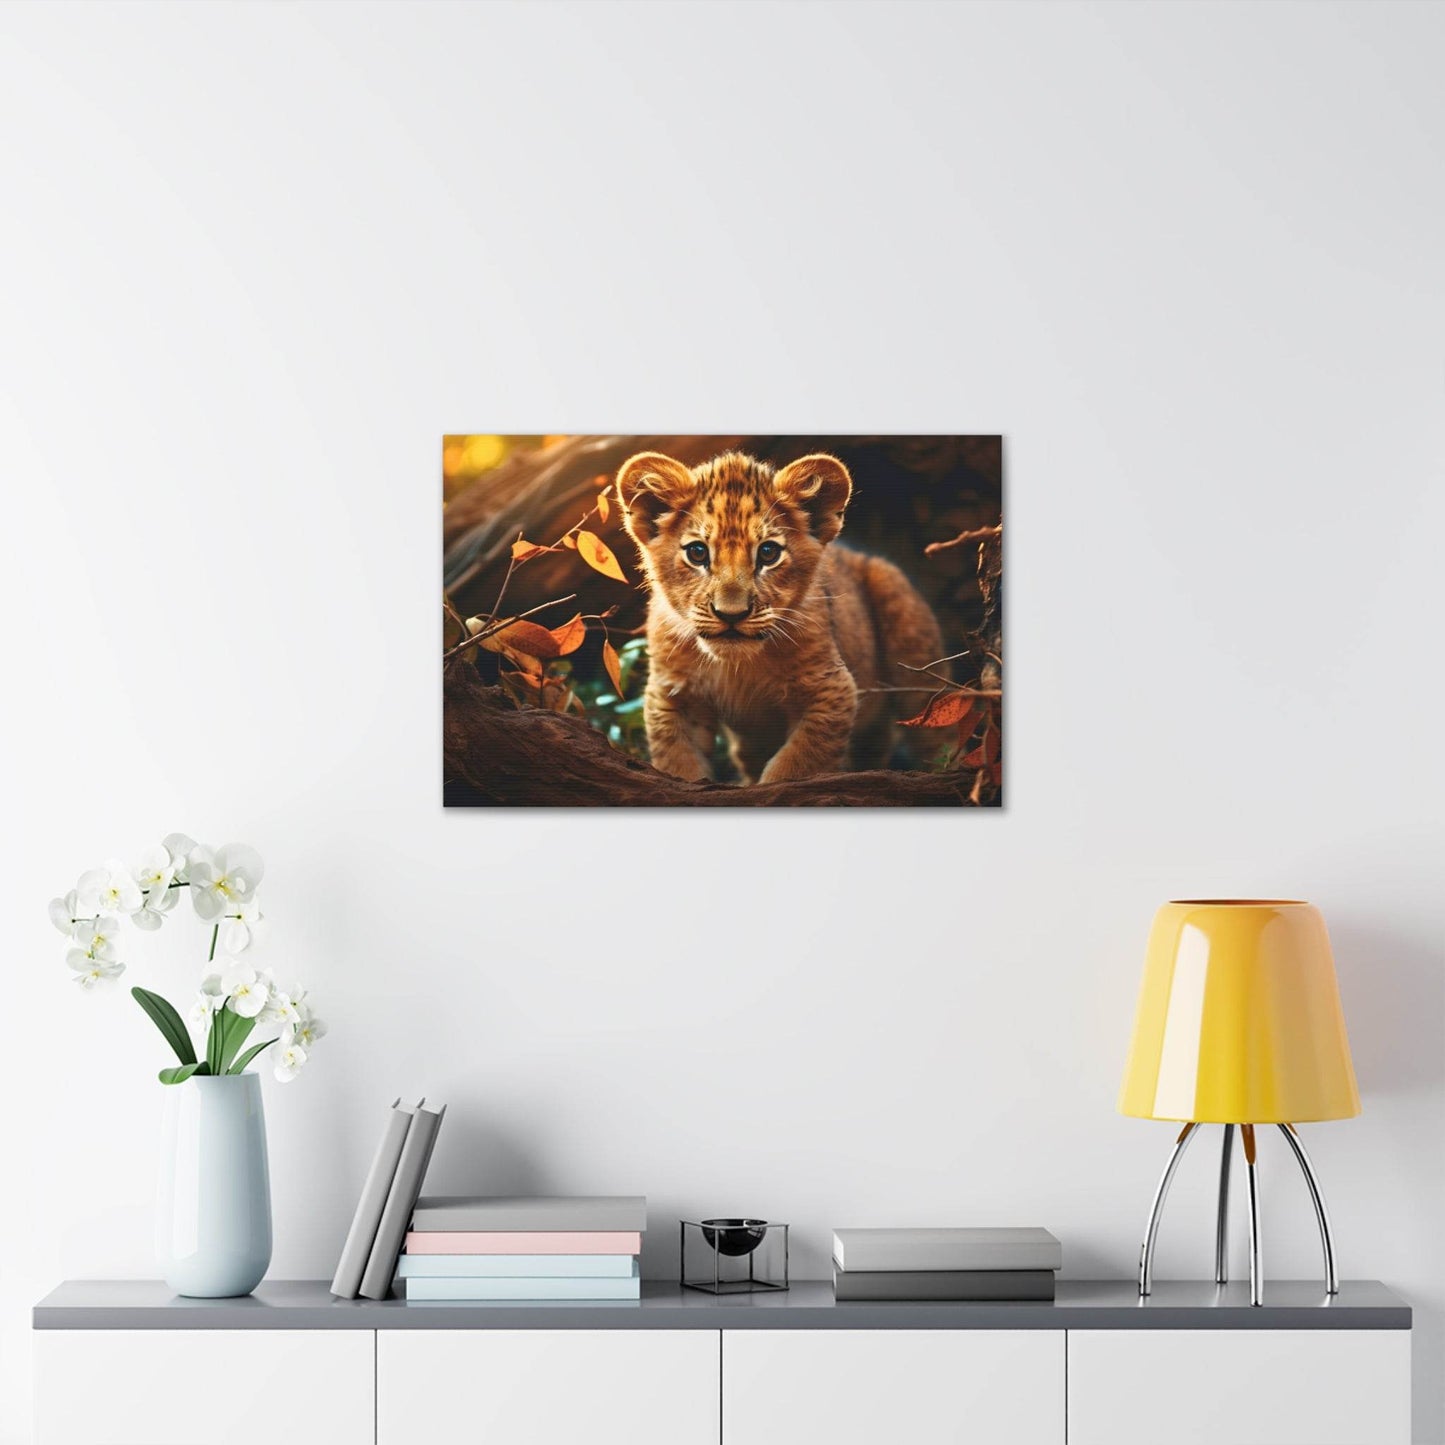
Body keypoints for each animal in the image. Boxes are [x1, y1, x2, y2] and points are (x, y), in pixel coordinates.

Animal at [616, 450, 945, 784]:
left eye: (768, 553)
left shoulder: (831, 689)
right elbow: (679, 763)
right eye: (697, 553)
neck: (737, 667)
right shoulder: (673, 696)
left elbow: (794, 765)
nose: (731, 614)